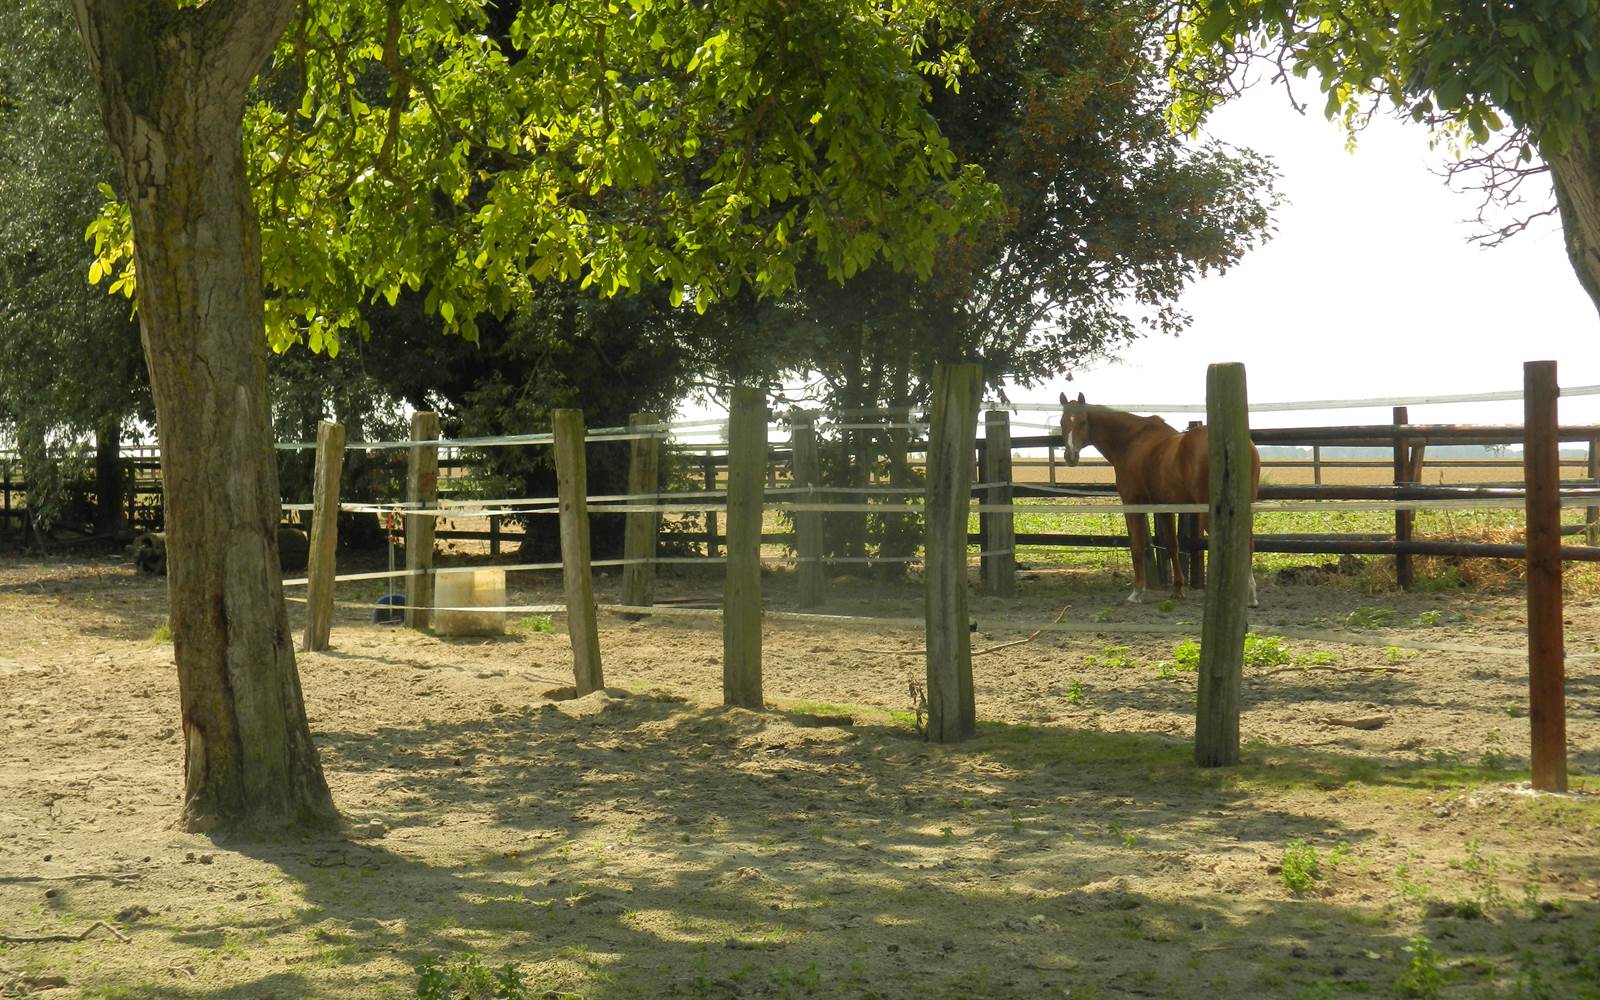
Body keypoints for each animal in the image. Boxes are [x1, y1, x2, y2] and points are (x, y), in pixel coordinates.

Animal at [1058, 391, 1261, 606]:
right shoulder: (1164, 507)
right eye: (1062, 422)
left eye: (1082, 422)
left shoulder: (1132, 504)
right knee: (1248, 543)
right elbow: (1172, 545)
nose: (1070, 456)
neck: (1132, 441)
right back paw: (1250, 594)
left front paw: (1137, 591)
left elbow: (1137, 546)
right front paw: (1177, 589)